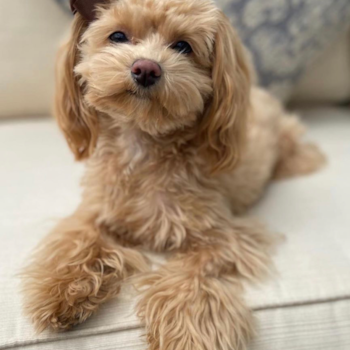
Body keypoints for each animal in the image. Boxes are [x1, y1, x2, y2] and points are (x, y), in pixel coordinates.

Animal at [21, 0, 322, 348]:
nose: (145, 69)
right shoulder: (96, 211)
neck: (143, 144)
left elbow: (190, 279)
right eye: (117, 36)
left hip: (287, 139)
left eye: (182, 46)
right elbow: (77, 241)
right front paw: (61, 289)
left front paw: (188, 334)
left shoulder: (223, 236)